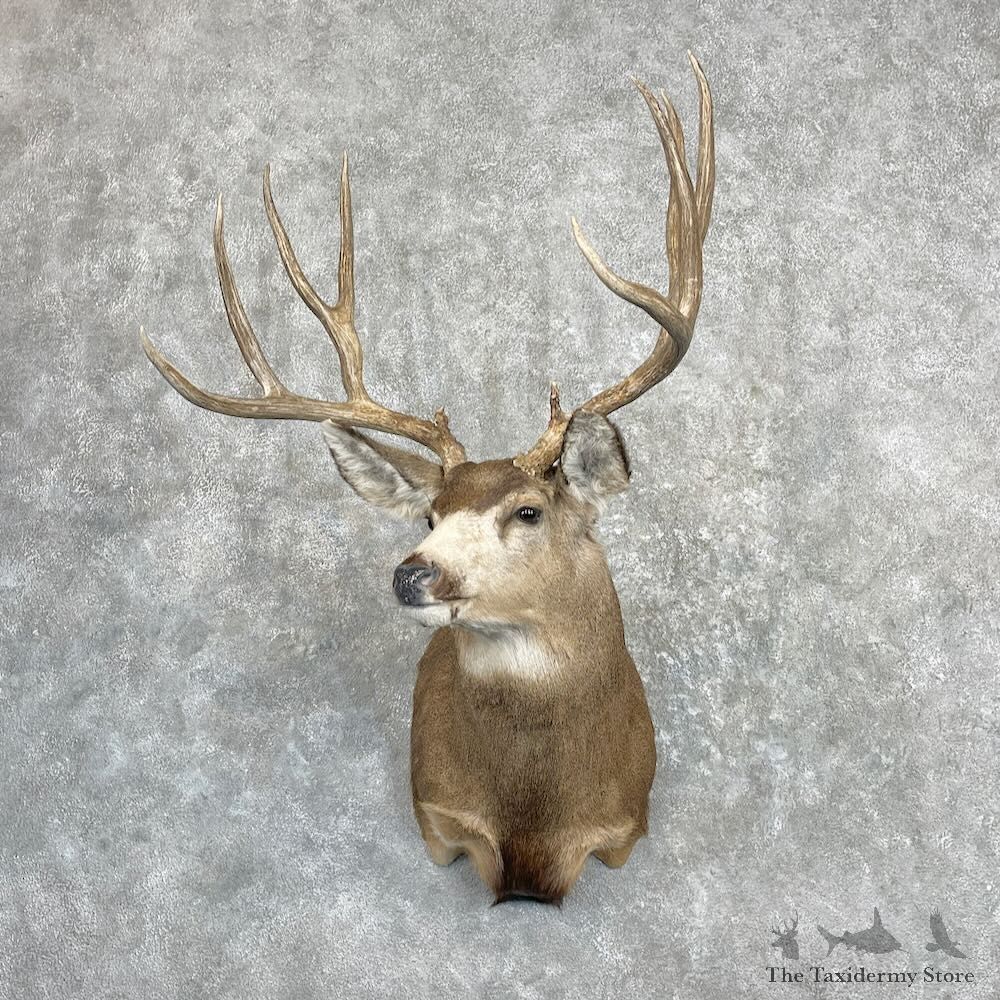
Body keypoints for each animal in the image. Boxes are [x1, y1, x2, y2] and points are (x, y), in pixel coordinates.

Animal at [141, 53, 715, 905]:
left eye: (529, 511)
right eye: (430, 515)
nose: (413, 573)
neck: (533, 824)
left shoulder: (623, 827)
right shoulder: (438, 817)